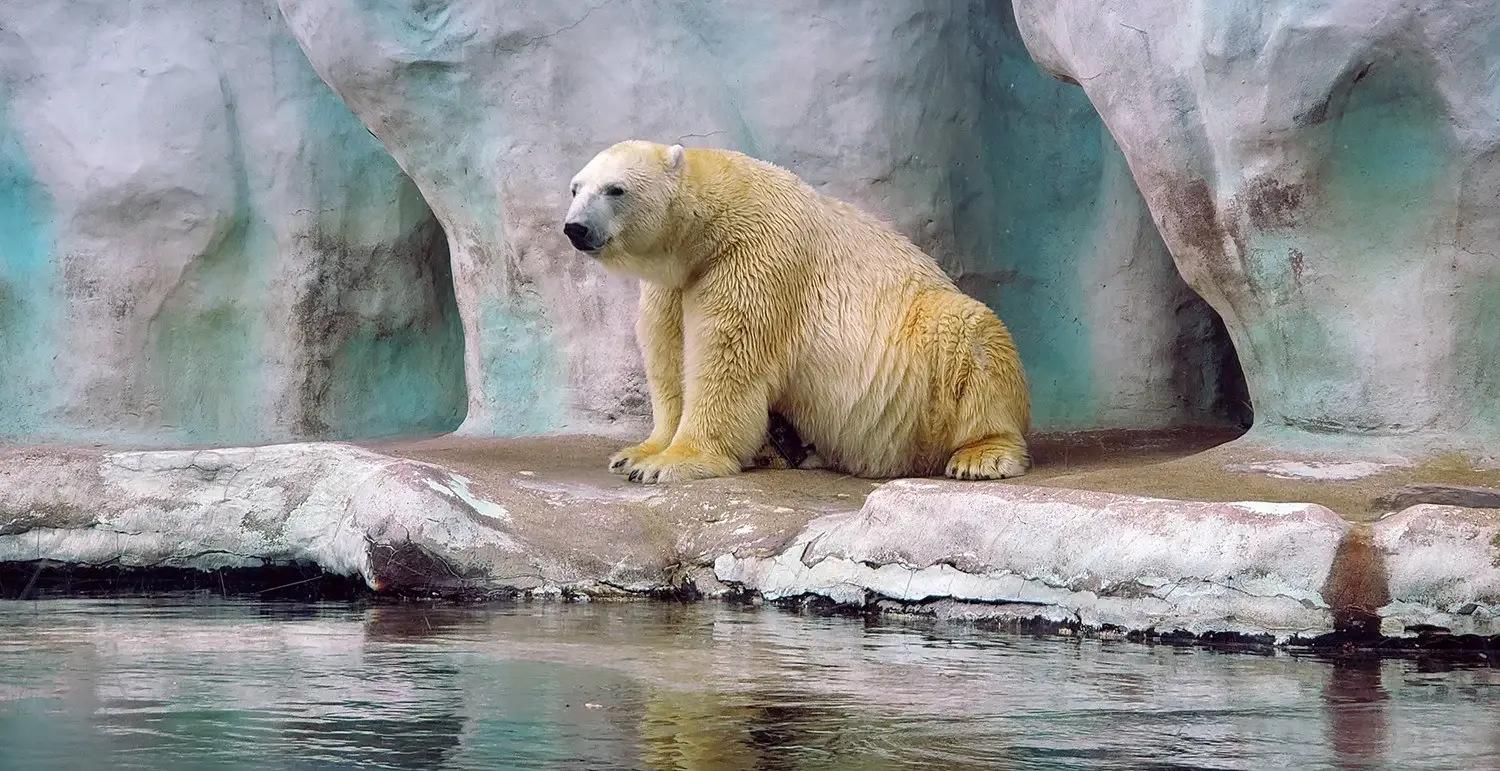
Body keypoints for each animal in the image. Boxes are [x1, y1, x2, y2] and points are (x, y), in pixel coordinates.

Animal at [564, 141, 1032, 483]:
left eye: (615, 189)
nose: (575, 228)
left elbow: (727, 361)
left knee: (971, 336)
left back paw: (981, 456)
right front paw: (635, 454)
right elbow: (667, 357)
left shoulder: (755, 261)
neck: (718, 218)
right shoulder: (674, 284)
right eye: (575, 187)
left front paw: (670, 462)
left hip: (927, 353)